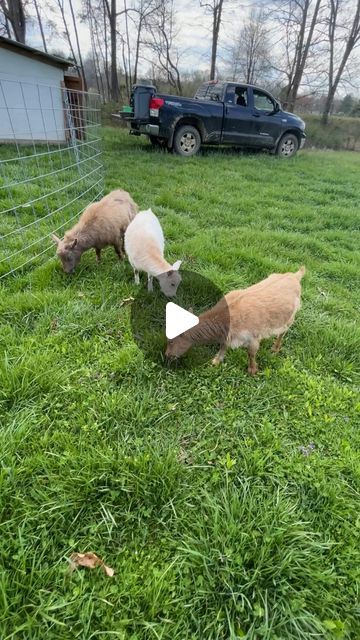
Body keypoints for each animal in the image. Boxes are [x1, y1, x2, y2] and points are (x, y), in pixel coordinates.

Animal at [165, 266, 304, 376]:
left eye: (171, 341)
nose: (167, 355)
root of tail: (295, 276)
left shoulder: (253, 338)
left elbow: (251, 354)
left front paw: (252, 371)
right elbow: (223, 346)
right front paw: (216, 362)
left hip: (290, 318)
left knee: (282, 333)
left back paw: (275, 348)